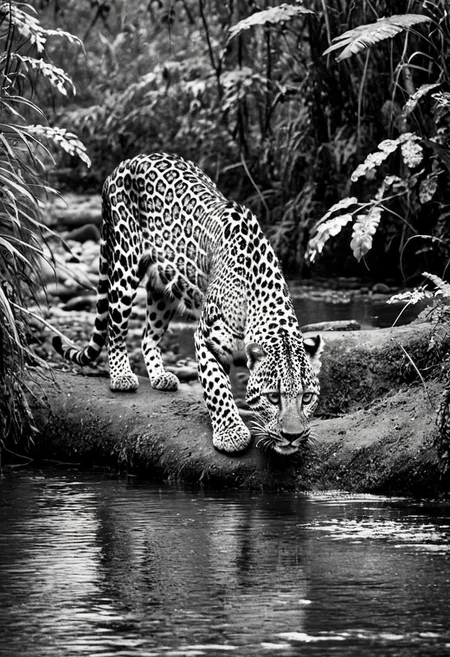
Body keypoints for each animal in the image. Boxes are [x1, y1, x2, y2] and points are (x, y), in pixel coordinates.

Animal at [53, 153, 323, 456]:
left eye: (307, 397)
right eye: (274, 397)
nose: (293, 435)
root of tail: (126, 162)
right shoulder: (207, 339)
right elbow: (218, 388)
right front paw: (231, 433)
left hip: (164, 290)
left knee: (148, 335)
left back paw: (160, 376)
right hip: (124, 266)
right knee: (116, 327)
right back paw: (121, 376)